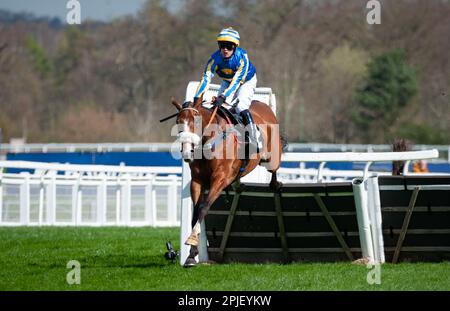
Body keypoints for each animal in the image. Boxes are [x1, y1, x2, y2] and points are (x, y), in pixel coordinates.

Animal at [171, 96, 284, 266]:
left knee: (274, 169)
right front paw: (191, 254)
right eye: (178, 122)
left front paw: (192, 239)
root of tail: (263, 105)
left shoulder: (221, 178)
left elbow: (204, 208)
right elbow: (196, 213)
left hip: (272, 158)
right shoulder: (197, 181)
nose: (186, 152)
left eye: (195, 122)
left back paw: (275, 184)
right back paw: (239, 184)